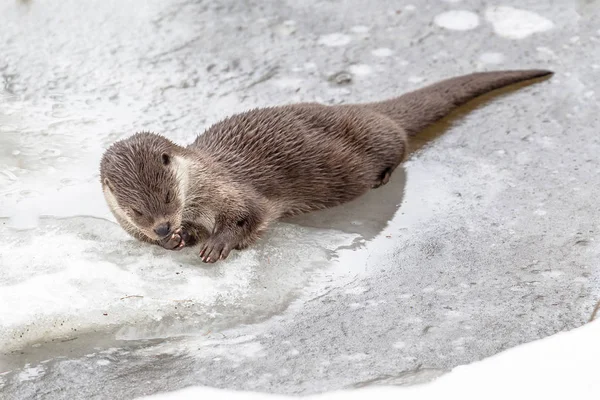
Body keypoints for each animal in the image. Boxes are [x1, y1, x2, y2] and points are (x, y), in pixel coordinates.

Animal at [99, 69, 552, 262]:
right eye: (137, 211)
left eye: (167, 195)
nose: (162, 227)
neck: (203, 188)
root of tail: (365, 109)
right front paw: (177, 240)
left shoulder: (238, 190)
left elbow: (253, 216)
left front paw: (217, 243)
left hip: (375, 137)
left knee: (399, 142)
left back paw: (385, 175)